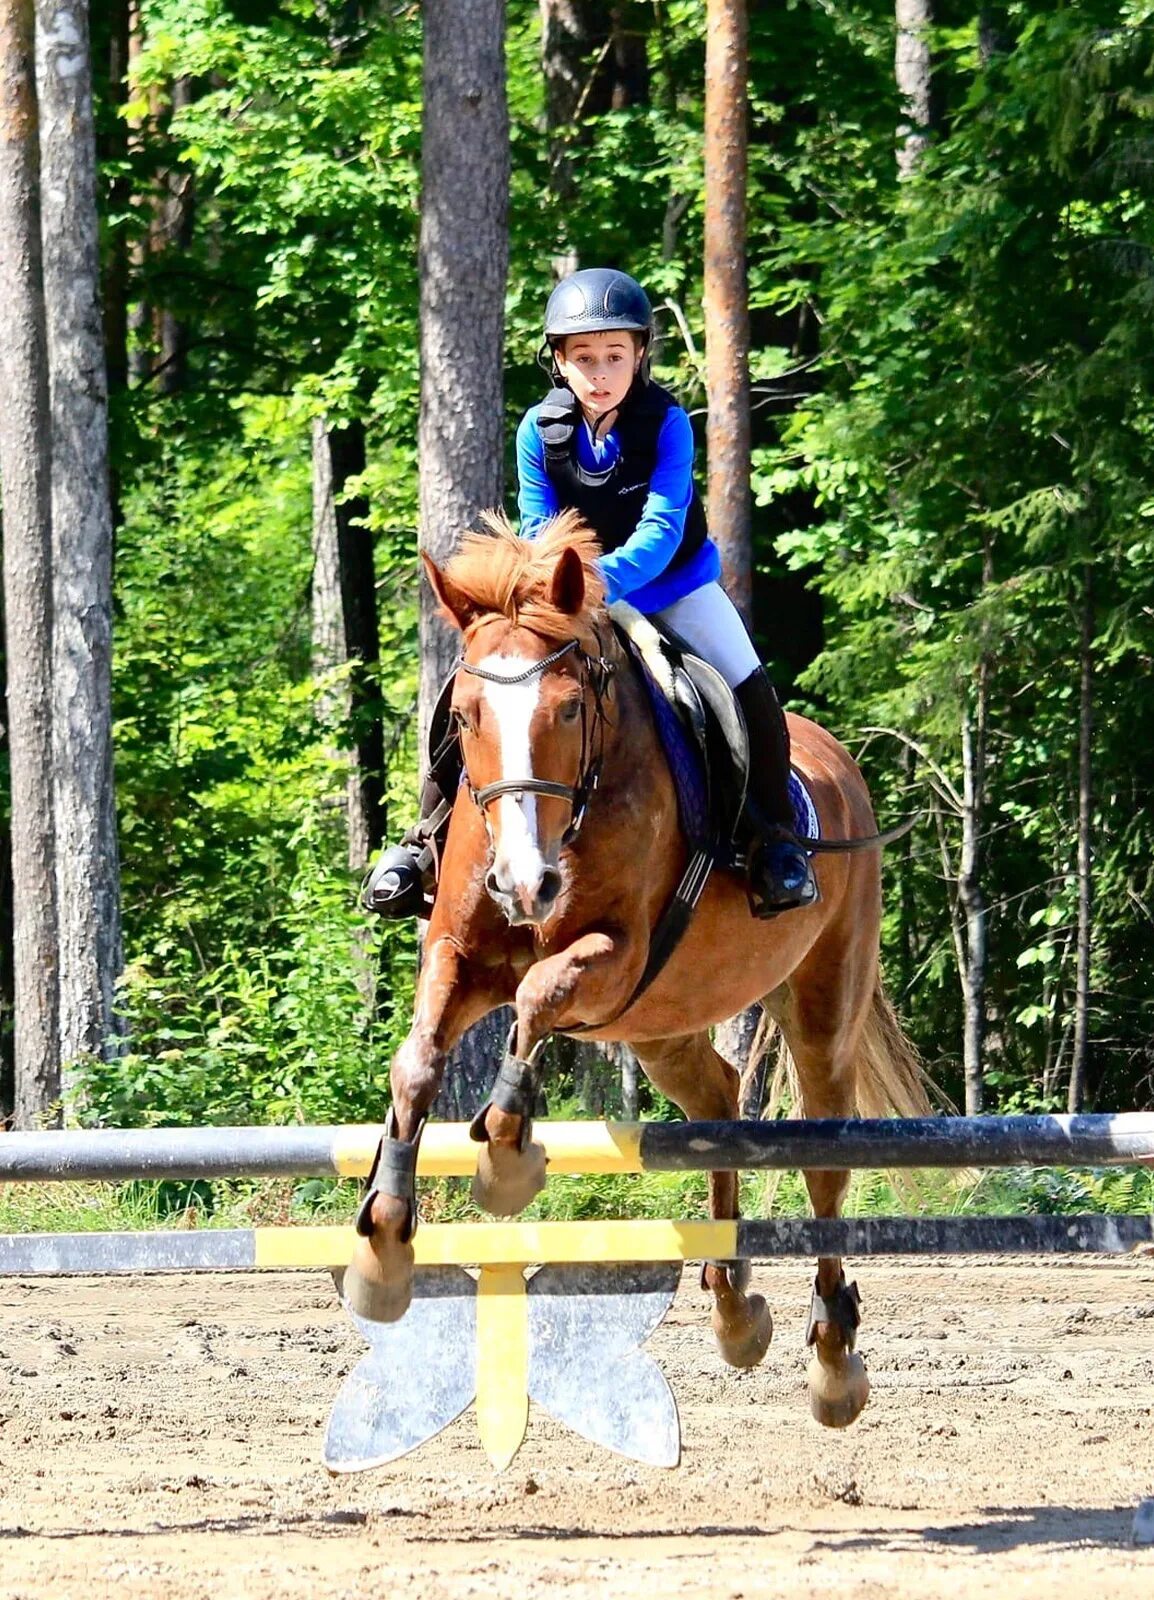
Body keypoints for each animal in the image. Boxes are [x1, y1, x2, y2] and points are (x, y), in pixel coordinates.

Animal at [344, 508, 928, 1427]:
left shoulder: (616, 959)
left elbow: (538, 995)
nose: (525, 884)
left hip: (819, 1007)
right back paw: (733, 1308)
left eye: (568, 709)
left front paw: (505, 1159)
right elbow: (418, 1061)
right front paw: (384, 1244)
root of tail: (838, 760)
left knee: (824, 1159)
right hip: (663, 1024)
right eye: (462, 717)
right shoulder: (461, 955)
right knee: (718, 1097)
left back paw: (834, 1361)